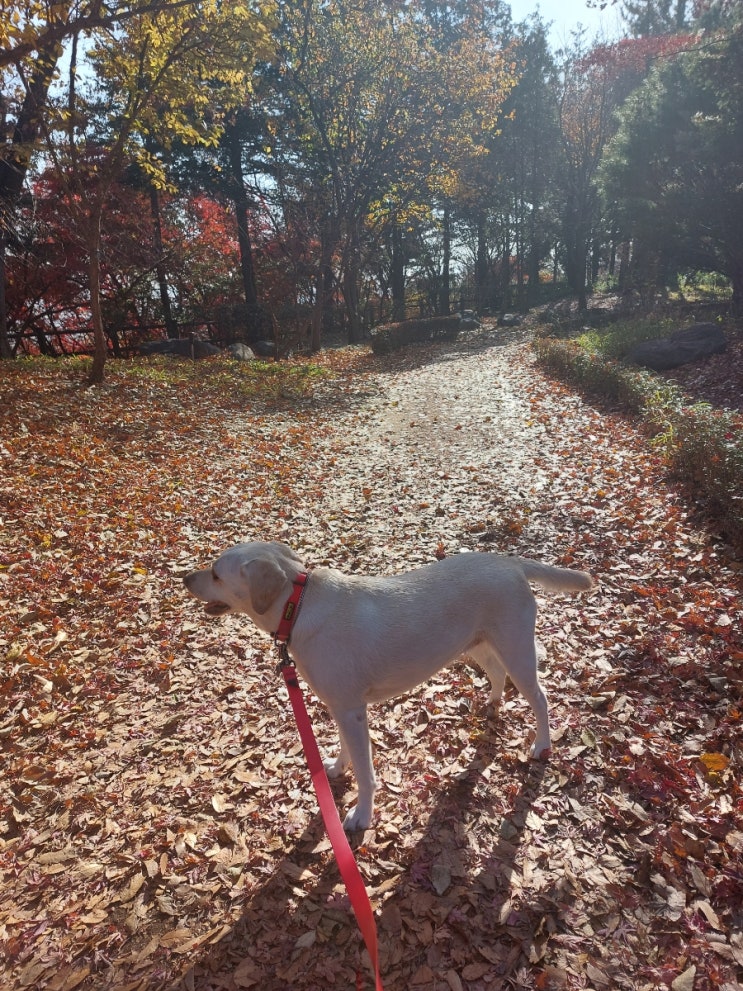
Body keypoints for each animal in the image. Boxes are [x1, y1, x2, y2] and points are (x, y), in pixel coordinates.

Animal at [186, 544, 592, 828]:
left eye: (216, 573)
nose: (184, 578)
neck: (297, 606)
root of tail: (512, 563)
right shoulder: (342, 708)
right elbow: (347, 750)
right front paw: (337, 767)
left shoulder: (352, 711)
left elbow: (366, 774)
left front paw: (361, 815)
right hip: (479, 646)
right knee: (496, 675)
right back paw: (491, 704)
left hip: (517, 650)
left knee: (540, 699)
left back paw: (542, 745)